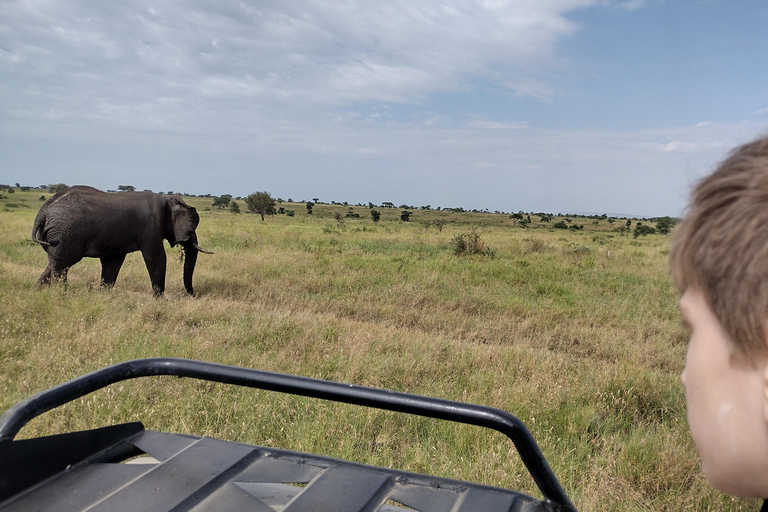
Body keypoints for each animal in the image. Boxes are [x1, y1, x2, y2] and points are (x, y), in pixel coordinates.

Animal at [31, 186, 213, 296]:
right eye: (192, 228)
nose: (193, 294)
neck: (167, 200)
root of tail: (43, 211)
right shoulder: (151, 227)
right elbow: (156, 258)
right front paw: (160, 300)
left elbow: (113, 263)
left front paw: (103, 295)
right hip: (64, 235)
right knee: (62, 266)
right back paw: (61, 293)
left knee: (56, 264)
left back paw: (41, 291)